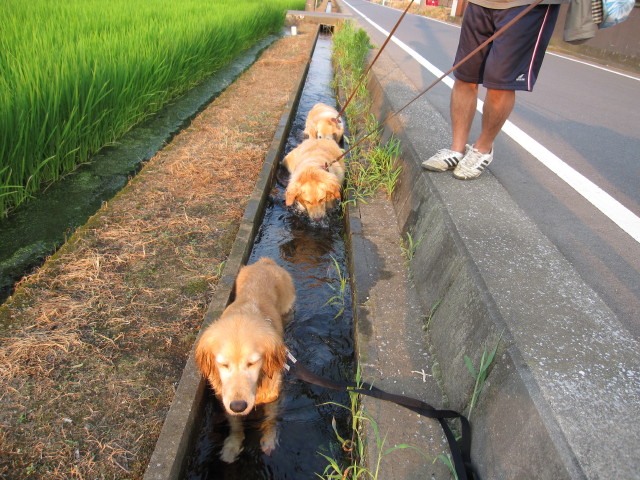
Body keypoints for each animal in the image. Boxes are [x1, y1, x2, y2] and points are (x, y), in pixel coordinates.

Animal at [195, 256, 296, 464]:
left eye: (252, 363)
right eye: (223, 364)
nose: (239, 406)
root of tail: (266, 262)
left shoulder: (272, 394)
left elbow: (270, 419)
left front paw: (269, 440)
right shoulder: (226, 400)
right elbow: (235, 425)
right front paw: (232, 445)